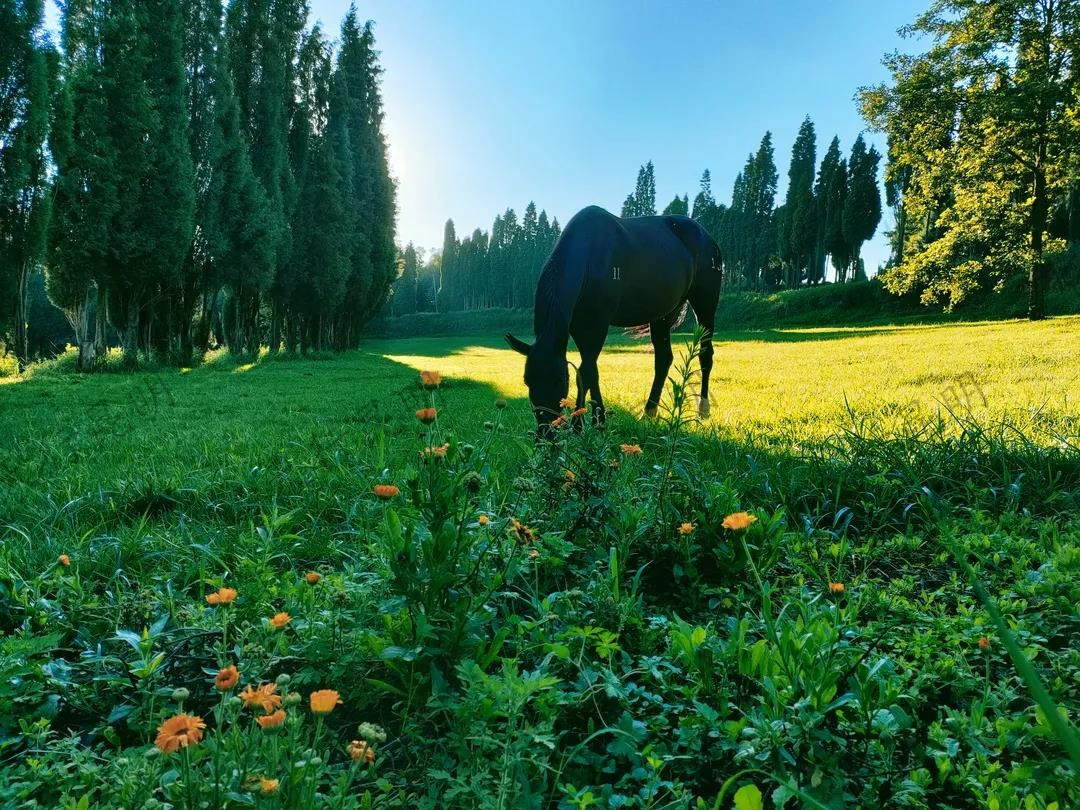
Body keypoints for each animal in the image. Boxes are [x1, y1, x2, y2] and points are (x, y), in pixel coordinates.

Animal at [507, 206, 725, 427]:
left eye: (560, 380)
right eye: (527, 380)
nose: (547, 431)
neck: (590, 256)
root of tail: (707, 237)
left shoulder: (598, 324)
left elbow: (585, 372)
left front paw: (583, 424)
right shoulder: (579, 326)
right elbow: (591, 371)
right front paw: (595, 420)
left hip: (705, 303)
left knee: (705, 354)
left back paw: (703, 410)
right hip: (663, 315)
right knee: (663, 359)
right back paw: (648, 412)